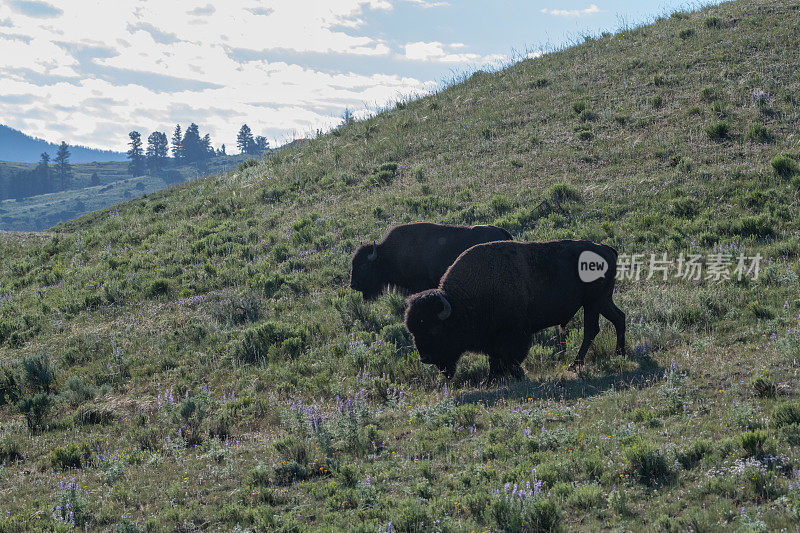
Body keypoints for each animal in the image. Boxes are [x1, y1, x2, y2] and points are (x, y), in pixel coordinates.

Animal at [406, 239, 624, 380]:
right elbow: (495, 359)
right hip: (602, 301)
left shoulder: (515, 333)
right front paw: (491, 380)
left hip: (593, 303)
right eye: (412, 330)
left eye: (435, 329)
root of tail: (607, 249)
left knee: (591, 330)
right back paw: (620, 353)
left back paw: (575, 364)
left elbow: (509, 357)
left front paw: (518, 375)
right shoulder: (492, 338)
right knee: (619, 318)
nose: (425, 358)